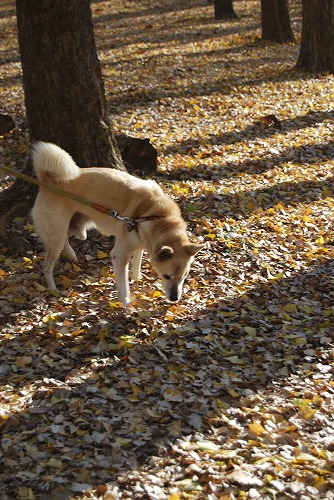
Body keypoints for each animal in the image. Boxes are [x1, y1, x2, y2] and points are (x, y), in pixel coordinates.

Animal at [31, 142, 204, 304]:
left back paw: (71, 254)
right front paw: (125, 301)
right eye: (166, 276)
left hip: (77, 229)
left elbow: (137, 262)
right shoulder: (119, 255)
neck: (157, 217)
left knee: (66, 238)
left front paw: (137, 278)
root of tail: (48, 180)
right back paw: (53, 289)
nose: (175, 298)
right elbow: (123, 284)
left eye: (184, 276)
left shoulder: (141, 243)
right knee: (47, 266)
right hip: (58, 234)